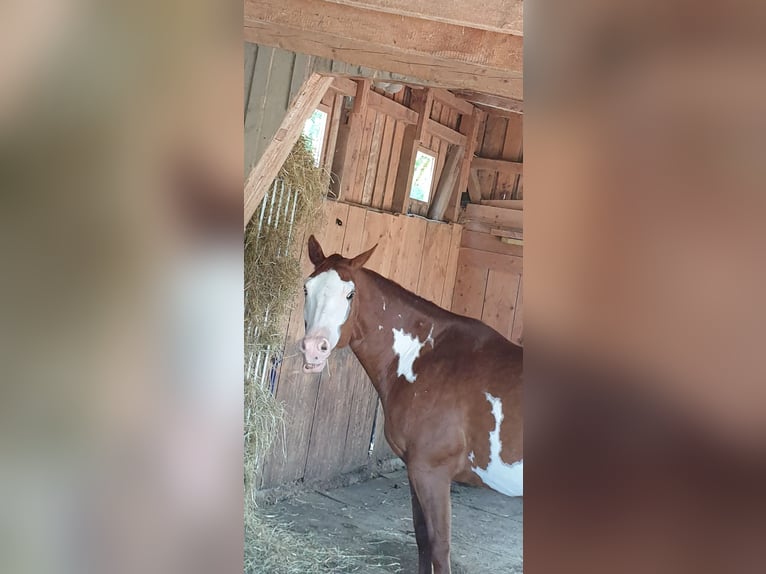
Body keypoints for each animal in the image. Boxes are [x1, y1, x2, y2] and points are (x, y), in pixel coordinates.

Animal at [299, 234, 523, 574]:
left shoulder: (432, 473)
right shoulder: (415, 469)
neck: (425, 359)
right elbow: (422, 539)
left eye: (350, 293)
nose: (314, 349)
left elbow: (439, 548)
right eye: (306, 288)